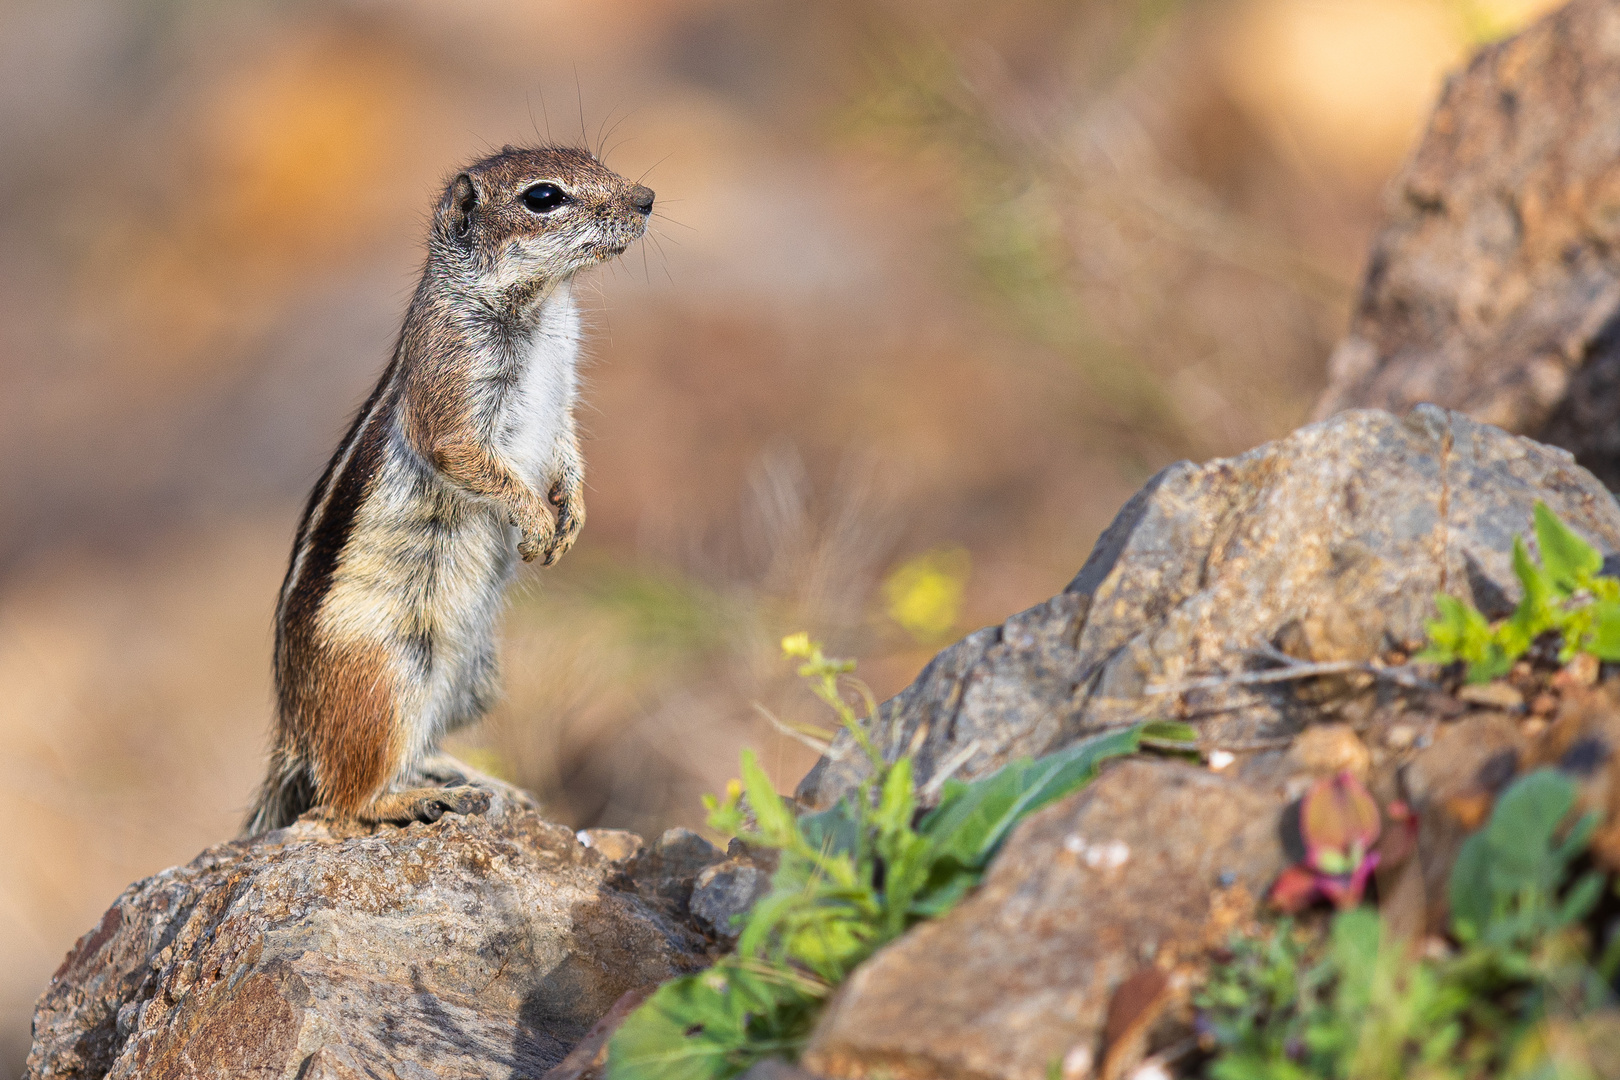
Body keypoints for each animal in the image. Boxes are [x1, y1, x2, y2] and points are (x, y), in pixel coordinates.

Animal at [243, 143, 648, 835]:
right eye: (543, 197)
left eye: (591, 156)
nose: (646, 199)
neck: (542, 302)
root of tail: (295, 730)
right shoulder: (450, 381)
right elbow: (462, 455)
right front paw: (535, 522)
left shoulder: (564, 392)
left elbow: (566, 447)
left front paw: (571, 516)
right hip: (385, 678)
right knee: (341, 799)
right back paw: (411, 800)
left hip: (473, 681)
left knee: (414, 751)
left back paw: (477, 780)